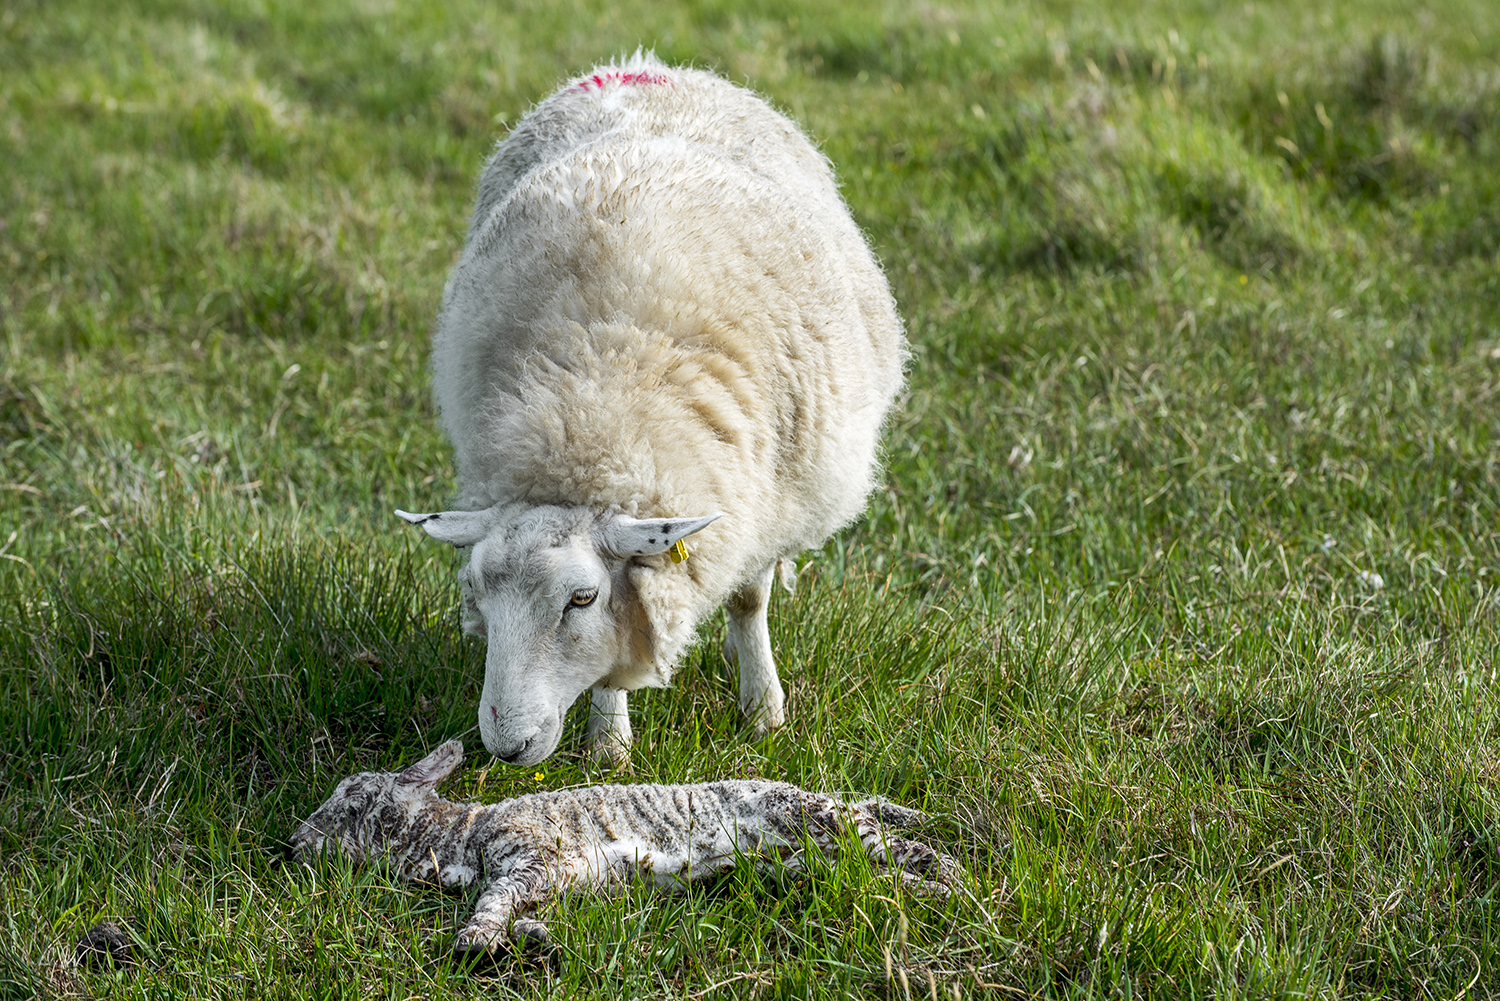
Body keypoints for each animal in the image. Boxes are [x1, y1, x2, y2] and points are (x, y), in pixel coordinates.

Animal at [286, 741, 960, 960]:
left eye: (350, 800)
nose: (291, 845)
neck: (461, 836)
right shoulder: (547, 879)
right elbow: (519, 912)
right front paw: (533, 941)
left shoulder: (537, 855)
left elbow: (492, 900)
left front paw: (475, 941)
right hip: (807, 856)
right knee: (871, 849)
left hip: (813, 818)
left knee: (896, 844)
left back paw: (949, 876)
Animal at [396, 52, 900, 768]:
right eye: (480, 594)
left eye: (581, 598)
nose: (506, 745)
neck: (595, 404)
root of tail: (645, 65)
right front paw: (609, 746)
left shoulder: (762, 498)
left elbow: (749, 600)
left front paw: (762, 712)